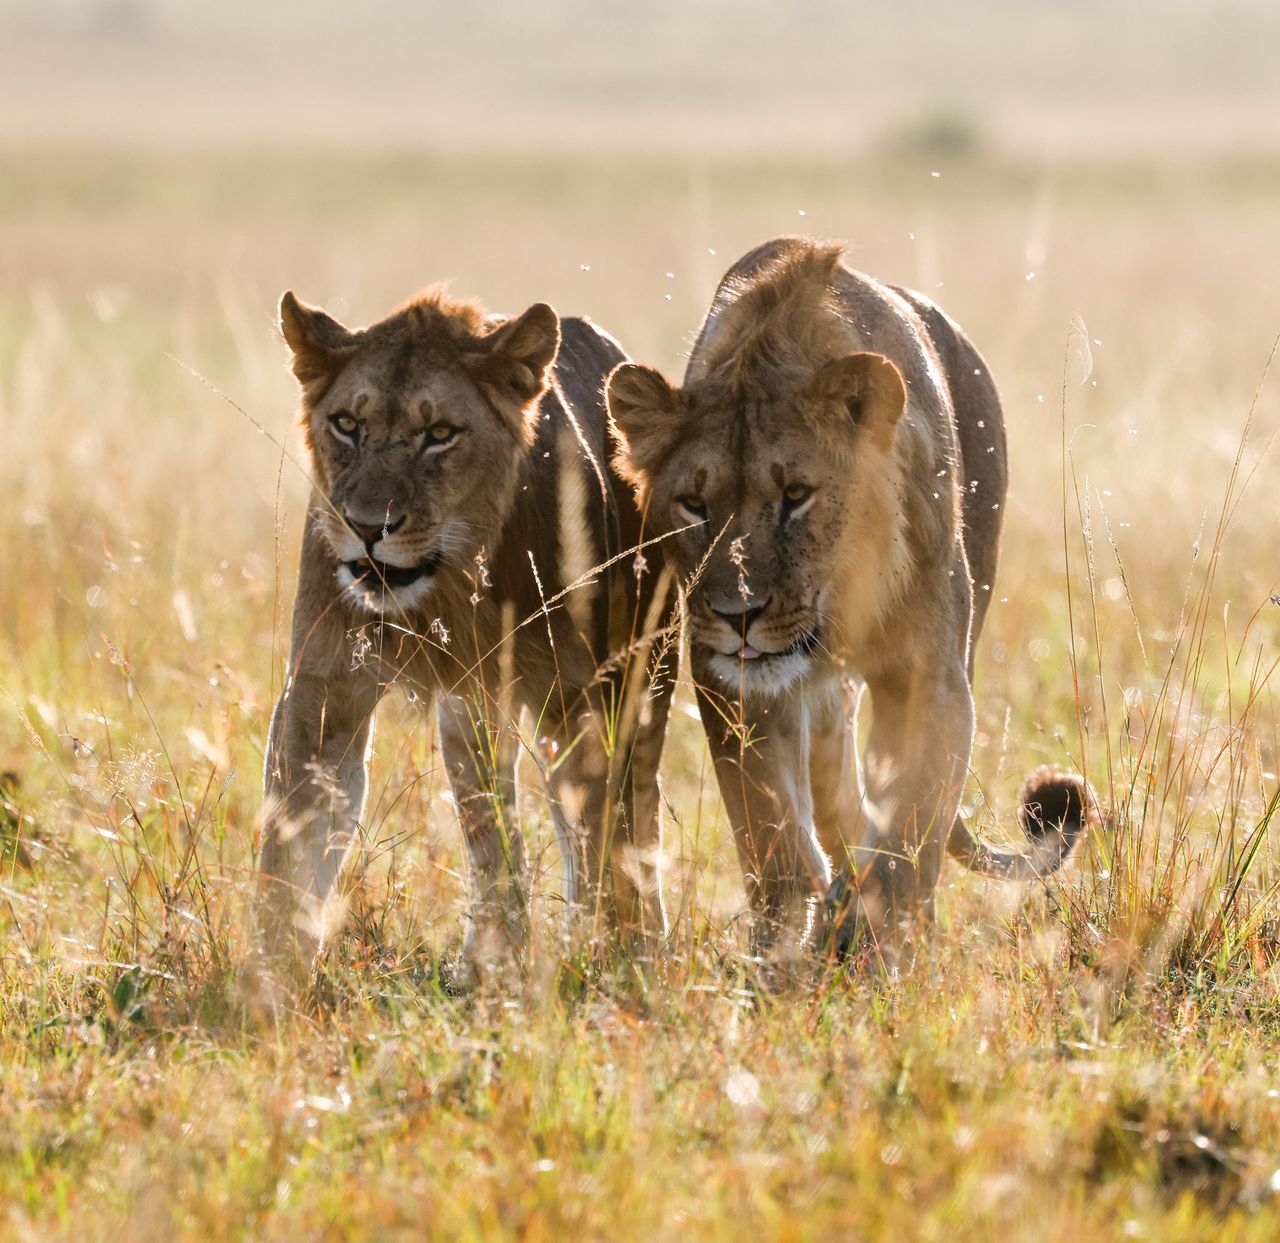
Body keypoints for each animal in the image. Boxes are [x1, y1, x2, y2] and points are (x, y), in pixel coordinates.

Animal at [260, 288, 675, 980]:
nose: (366, 527)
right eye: (346, 424)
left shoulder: (579, 696)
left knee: (628, 807)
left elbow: (598, 835)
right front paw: (265, 982)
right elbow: (292, 844)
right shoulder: (325, 687)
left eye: (439, 435)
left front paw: (611, 959)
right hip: (472, 712)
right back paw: (491, 957)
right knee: (491, 825)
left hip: (636, 679)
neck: (449, 583)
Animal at [606, 236, 1094, 967]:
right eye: (694, 504)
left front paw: (884, 946)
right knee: (835, 795)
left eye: (797, 495)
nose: (738, 616)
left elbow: (913, 823)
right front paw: (783, 944)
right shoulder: (734, 685)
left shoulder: (929, 676)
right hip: (824, 711)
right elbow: (769, 829)